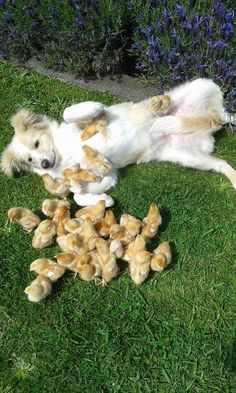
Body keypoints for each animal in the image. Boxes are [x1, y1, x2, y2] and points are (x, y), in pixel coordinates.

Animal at [0, 76, 235, 205]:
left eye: (37, 143)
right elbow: (78, 195)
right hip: (189, 157)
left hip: (203, 84)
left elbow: (70, 111)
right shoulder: (109, 171)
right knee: (222, 162)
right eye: (29, 160)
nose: (45, 164)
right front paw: (101, 200)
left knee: (224, 115)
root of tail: (208, 124)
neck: (62, 153)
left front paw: (94, 106)